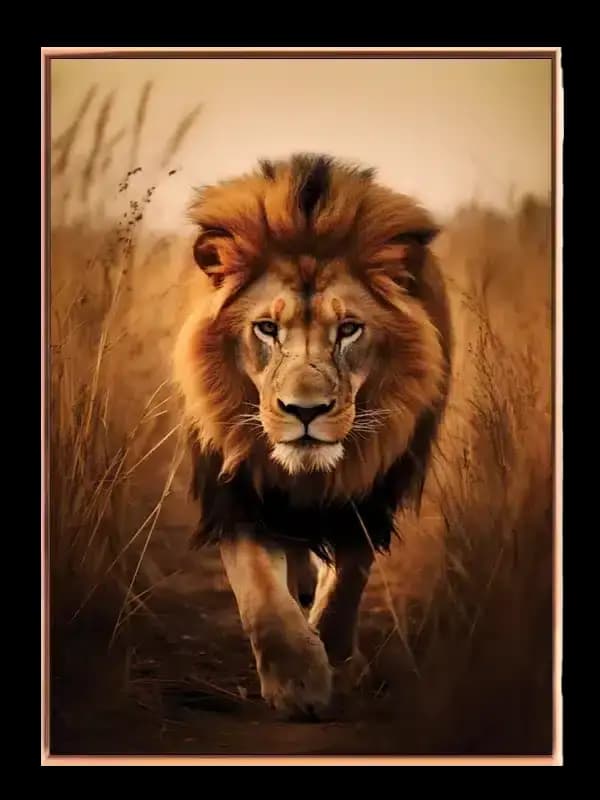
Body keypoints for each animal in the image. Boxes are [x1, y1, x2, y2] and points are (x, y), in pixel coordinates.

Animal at [173, 153, 452, 718]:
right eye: (266, 329)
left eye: (348, 329)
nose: (305, 411)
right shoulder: (237, 496)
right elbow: (260, 595)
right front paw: (297, 681)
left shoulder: (369, 496)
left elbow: (348, 583)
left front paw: (337, 661)